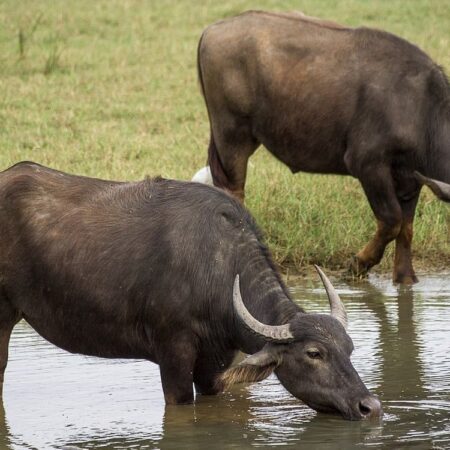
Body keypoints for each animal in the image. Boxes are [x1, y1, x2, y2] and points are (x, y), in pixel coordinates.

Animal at [0, 162, 382, 418]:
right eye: (314, 353)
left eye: (349, 348)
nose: (370, 406)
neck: (217, 269)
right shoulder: (173, 355)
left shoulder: (216, 363)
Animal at [196, 9, 450, 284]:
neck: (422, 108)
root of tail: (212, 30)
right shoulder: (368, 165)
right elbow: (392, 220)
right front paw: (358, 264)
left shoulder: (410, 179)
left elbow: (406, 228)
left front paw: (405, 278)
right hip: (232, 135)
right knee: (233, 190)